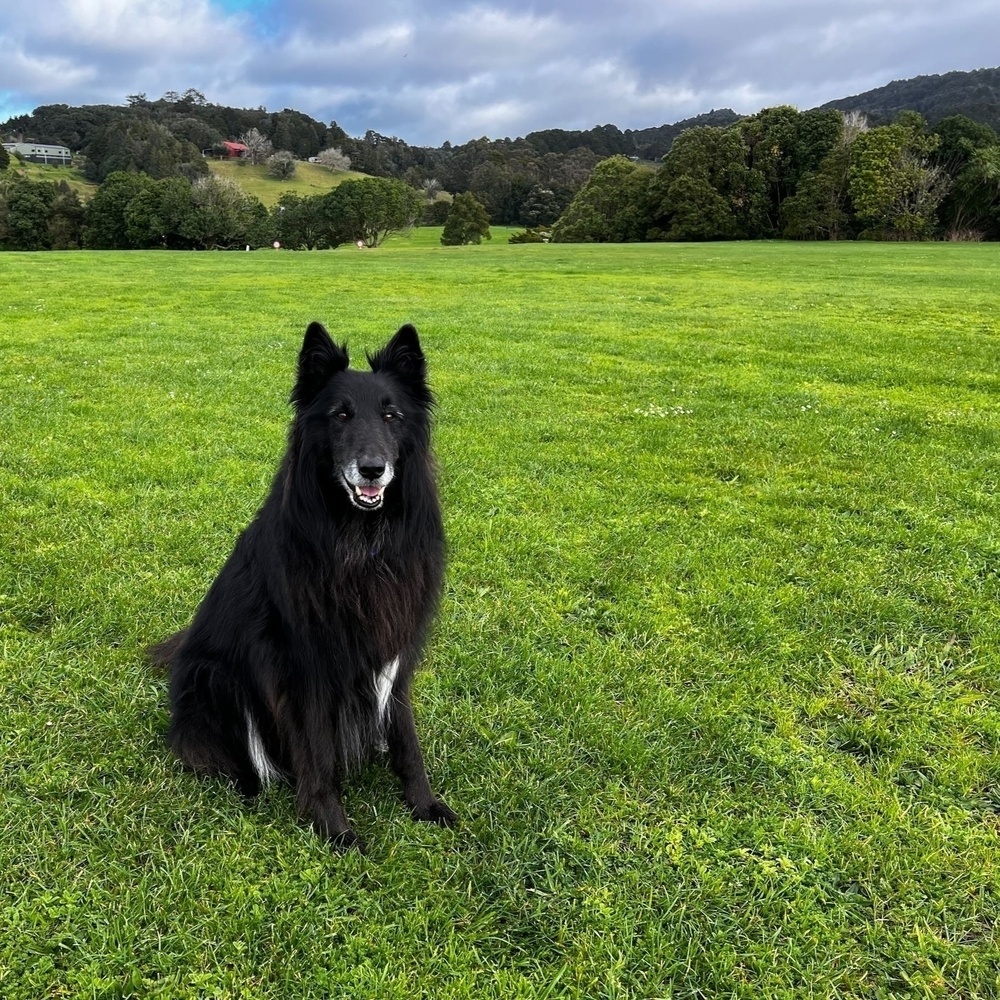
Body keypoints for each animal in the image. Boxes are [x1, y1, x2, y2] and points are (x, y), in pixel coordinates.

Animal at [150, 324, 456, 848]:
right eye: (340, 415)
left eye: (391, 414)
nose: (372, 469)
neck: (359, 541)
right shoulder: (304, 663)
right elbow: (317, 752)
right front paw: (333, 827)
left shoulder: (395, 652)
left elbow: (405, 735)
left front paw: (423, 803)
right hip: (215, 678)